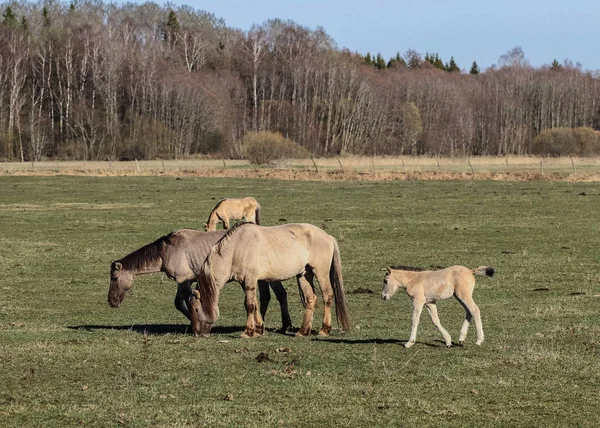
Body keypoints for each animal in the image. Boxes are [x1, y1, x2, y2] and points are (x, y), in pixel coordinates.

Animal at [110, 227, 296, 332]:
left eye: (114, 277)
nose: (111, 302)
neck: (166, 250)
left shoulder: (184, 281)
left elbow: (185, 302)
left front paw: (194, 322)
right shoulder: (185, 281)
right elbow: (180, 302)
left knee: (278, 295)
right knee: (273, 296)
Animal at [190, 222, 352, 340]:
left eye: (196, 309)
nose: (197, 333)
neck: (237, 248)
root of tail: (328, 237)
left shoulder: (250, 279)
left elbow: (249, 305)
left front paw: (248, 332)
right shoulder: (245, 282)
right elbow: (255, 304)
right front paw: (258, 329)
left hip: (321, 273)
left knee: (327, 296)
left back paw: (325, 330)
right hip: (304, 275)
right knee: (311, 299)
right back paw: (303, 331)